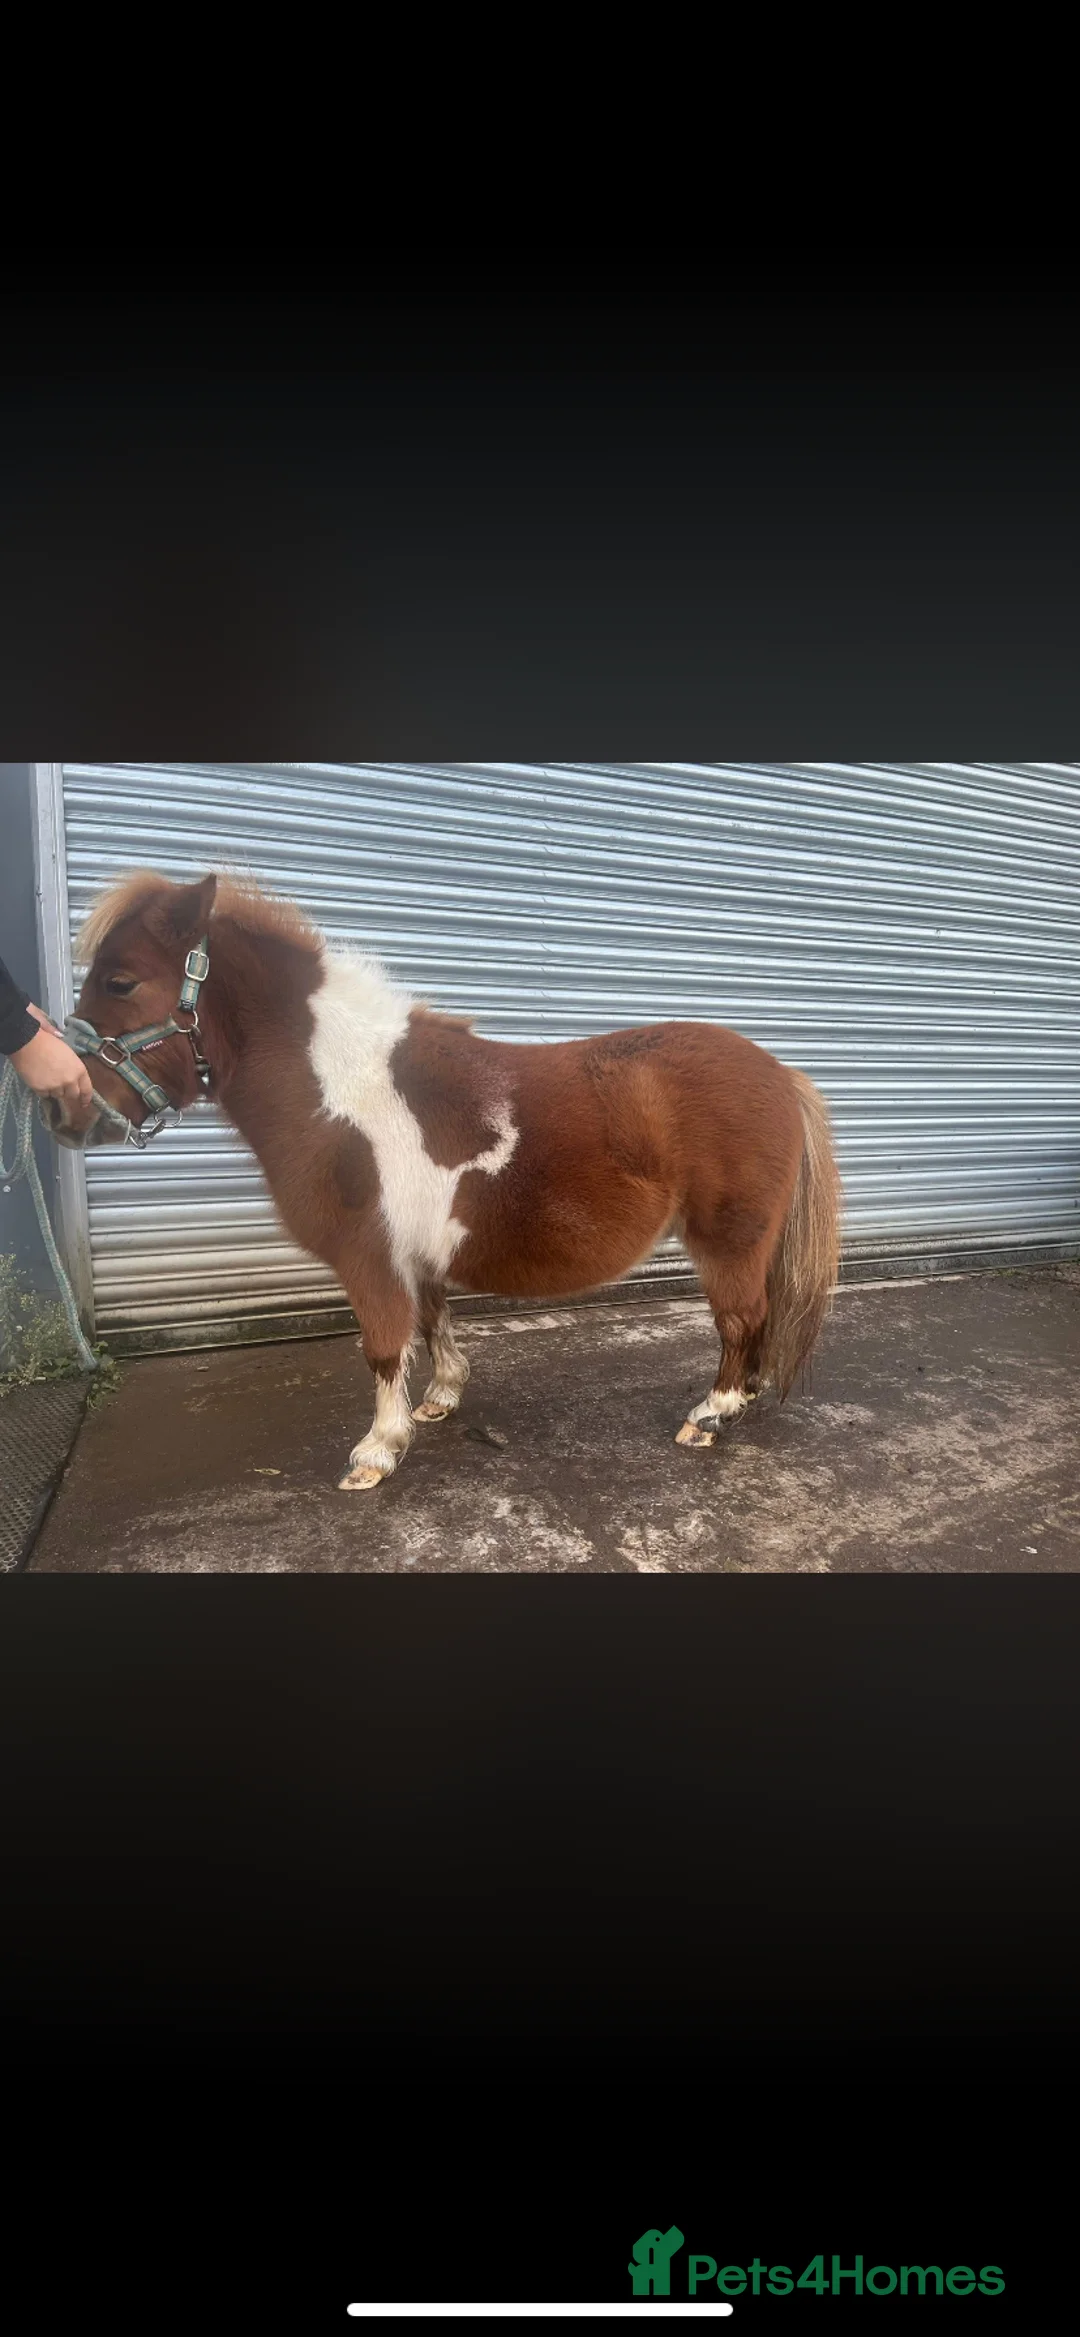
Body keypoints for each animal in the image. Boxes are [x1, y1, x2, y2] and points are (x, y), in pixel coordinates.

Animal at [43, 870, 843, 1492]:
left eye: (120, 980)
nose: (61, 1109)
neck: (341, 1091)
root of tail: (781, 1075)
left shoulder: (368, 1257)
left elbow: (383, 1346)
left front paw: (377, 1451)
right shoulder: (413, 1253)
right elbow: (431, 1324)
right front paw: (440, 1400)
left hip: (727, 1242)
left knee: (742, 1321)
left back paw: (711, 1415)